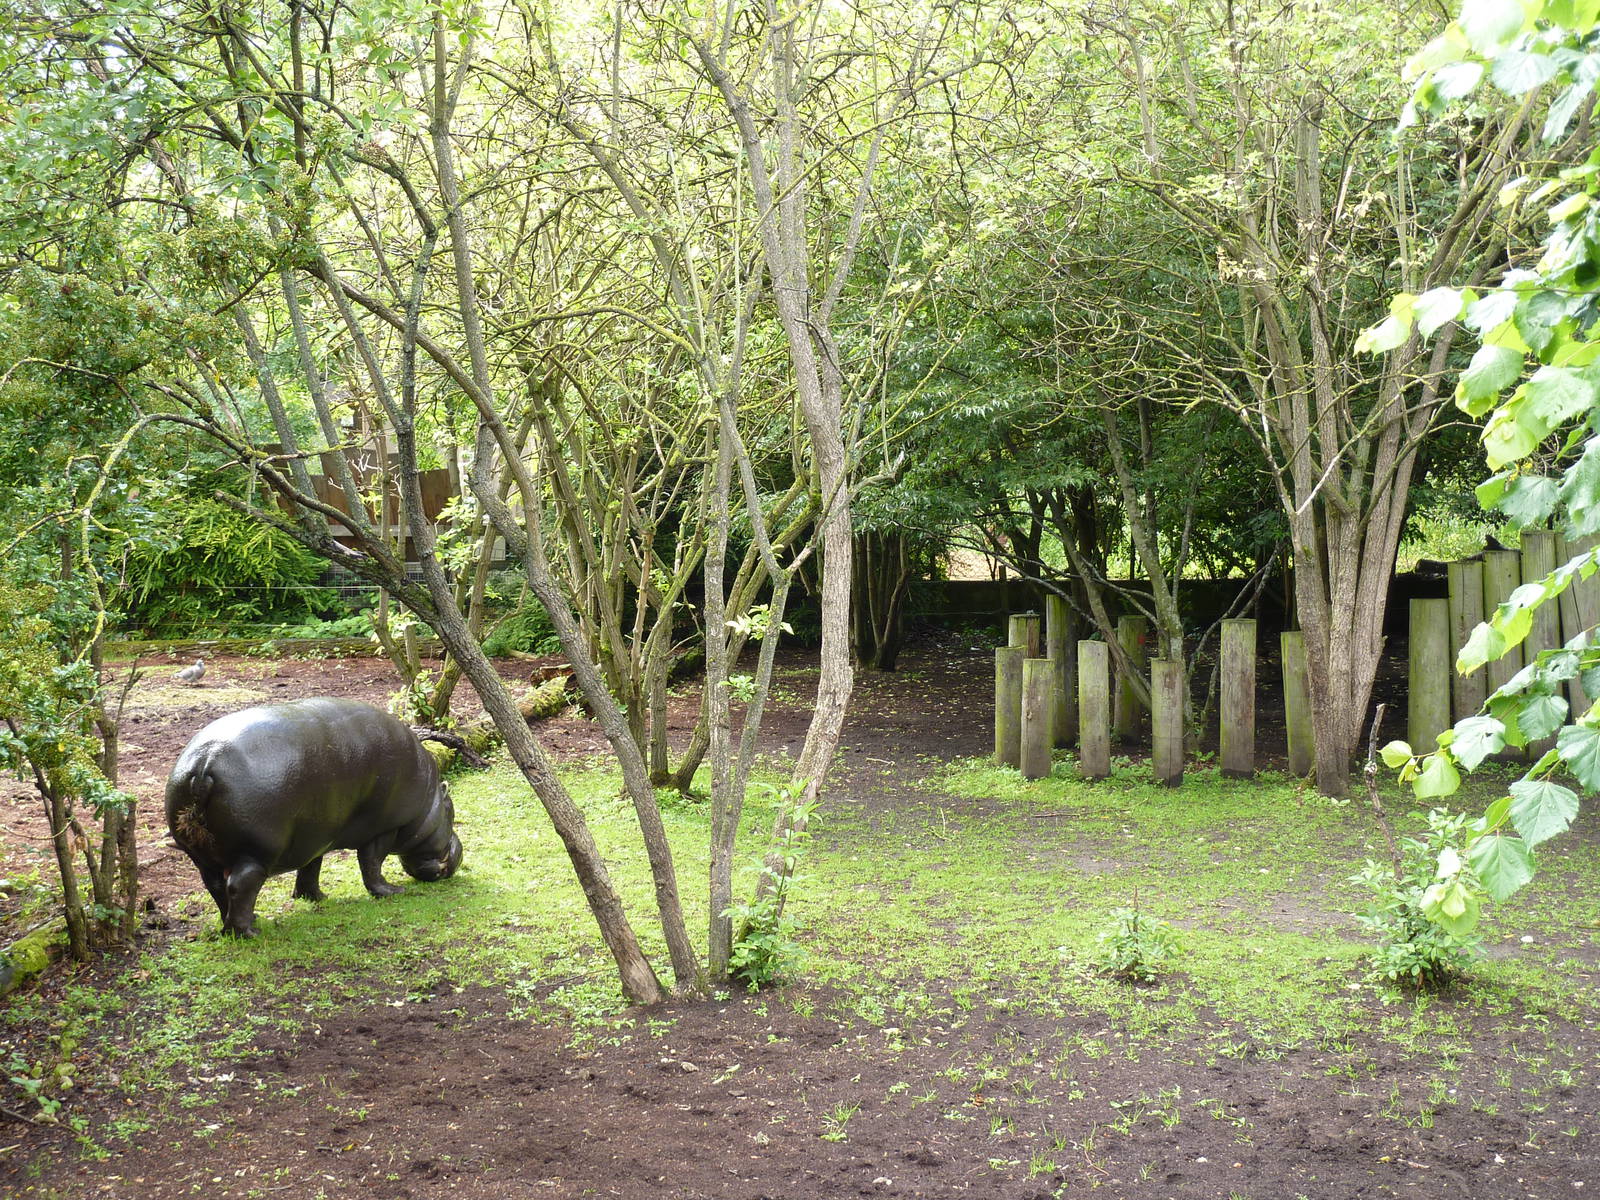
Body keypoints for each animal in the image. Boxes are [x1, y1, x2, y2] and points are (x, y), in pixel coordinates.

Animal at [165, 698, 462, 937]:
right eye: (451, 812)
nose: (458, 852)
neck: (430, 799)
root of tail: (204, 764)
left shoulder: (315, 835)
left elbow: (311, 867)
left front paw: (316, 898)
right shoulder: (383, 829)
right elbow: (371, 864)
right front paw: (393, 892)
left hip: (202, 855)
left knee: (215, 885)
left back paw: (240, 923)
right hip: (257, 852)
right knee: (240, 885)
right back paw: (249, 931)